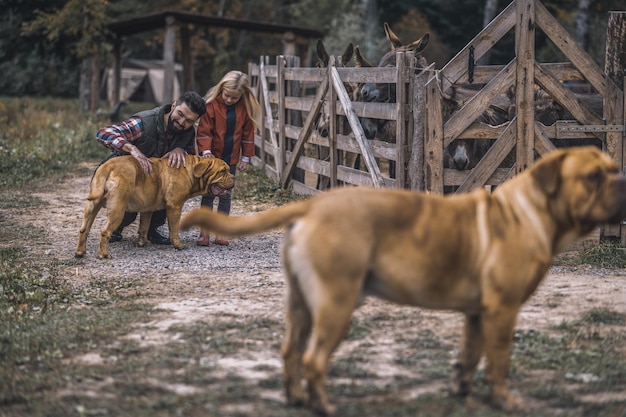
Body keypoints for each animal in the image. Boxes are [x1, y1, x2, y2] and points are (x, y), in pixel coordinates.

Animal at [75, 154, 234, 256]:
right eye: (222, 171)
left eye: (227, 170)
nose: (233, 176)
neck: (192, 170)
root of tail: (108, 166)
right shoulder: (175, 206)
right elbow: (174, 229)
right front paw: (178, 245)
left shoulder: (147, 209)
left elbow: (144, 227)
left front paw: (143, 242)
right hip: (117, 209)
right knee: (105, 231)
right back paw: (104, 254)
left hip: (92, 206)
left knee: (84, 229)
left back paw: (80, 252)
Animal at [178, 146, 620, 412]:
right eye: (594, 177)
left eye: (614, 170)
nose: (625, 182)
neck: (530, 211)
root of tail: (312, 206)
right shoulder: (503, 310)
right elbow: (499, 361)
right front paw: (504, 400)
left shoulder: (478, 313)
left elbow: (470, 355)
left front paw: (462, 391)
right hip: (337, 303)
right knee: (313, 358)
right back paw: (323, 405)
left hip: (301, 305)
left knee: (290, 353)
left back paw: (297, 399)